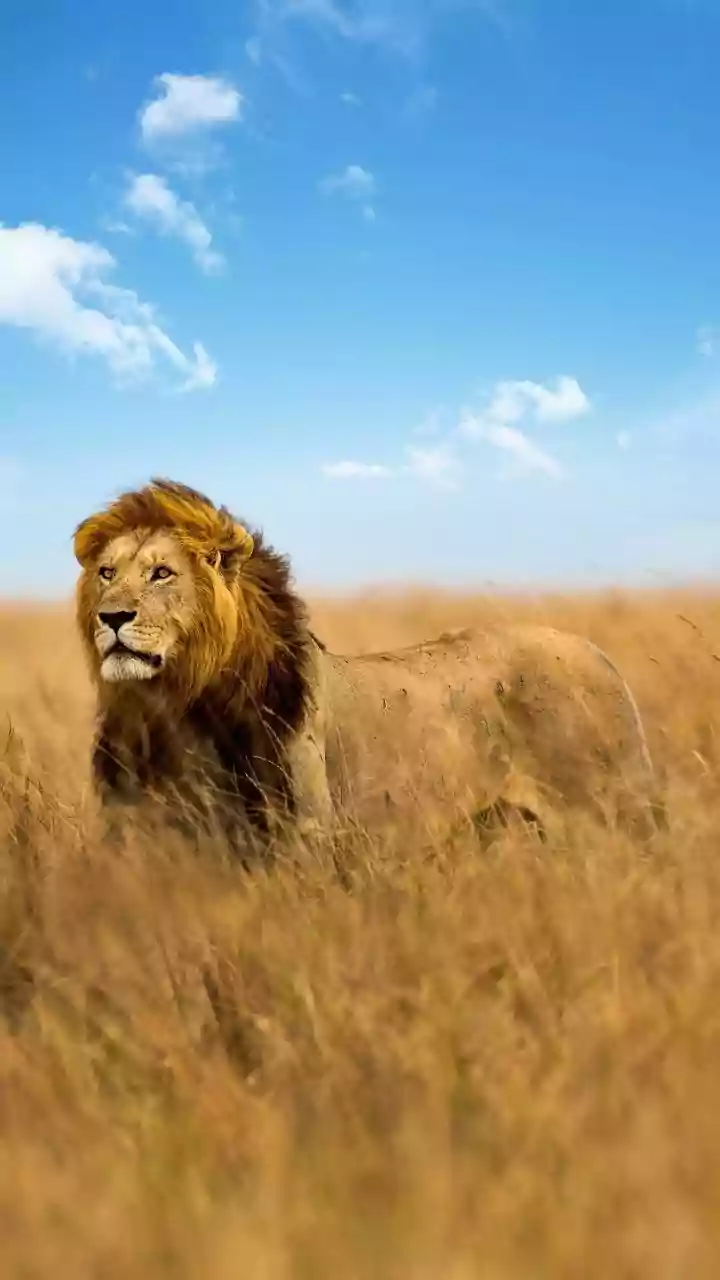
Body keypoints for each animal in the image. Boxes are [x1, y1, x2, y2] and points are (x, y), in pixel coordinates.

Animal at [73, 478, 663, 853]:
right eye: (106, 572)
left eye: (162, 573)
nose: (113, 617)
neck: (177, 706)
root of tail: (598, 652)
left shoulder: (303, 839)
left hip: (616, 817)